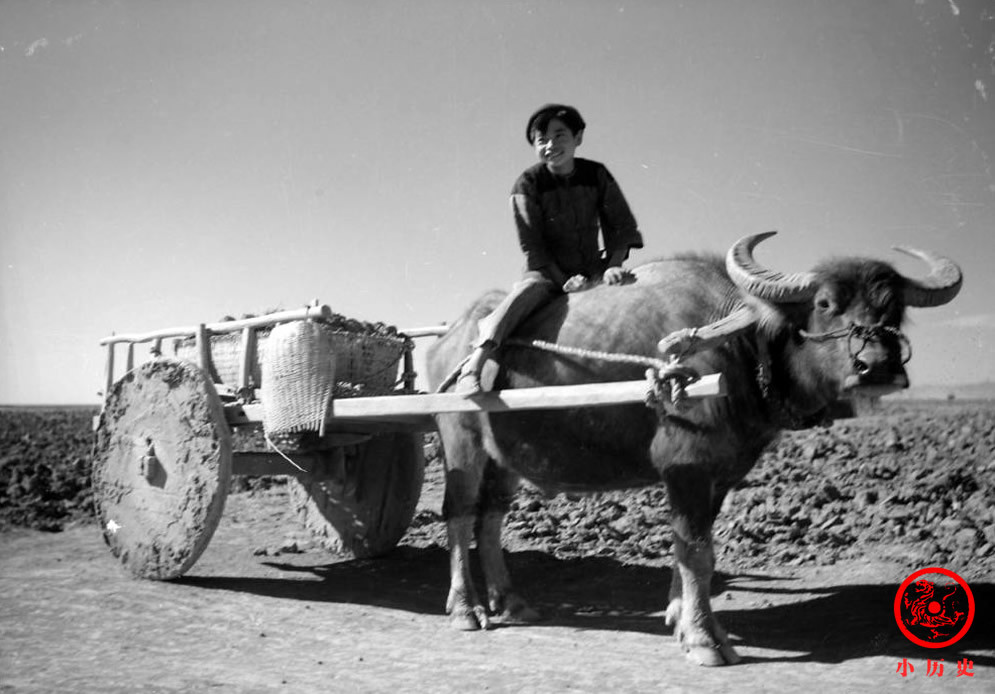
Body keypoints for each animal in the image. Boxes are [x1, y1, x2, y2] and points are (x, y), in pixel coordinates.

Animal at [426, 234, 964, 668]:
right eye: (827, 303)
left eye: (893, 309)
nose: (878, 365)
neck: (738, 346)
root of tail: (448, 339)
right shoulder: (684, 466)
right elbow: (697, 552)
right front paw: (706, 639)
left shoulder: (721, 474)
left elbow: (691, 549)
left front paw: (683, 618)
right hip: (459, 440)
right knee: (459, 514)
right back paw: (466, 609)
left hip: (504, 457)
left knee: (490, 518)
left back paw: (511, 601)